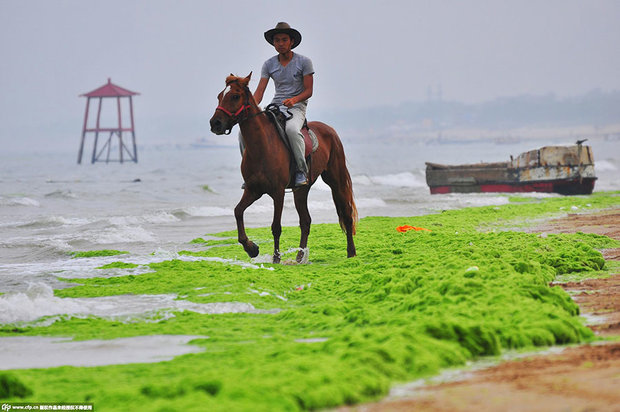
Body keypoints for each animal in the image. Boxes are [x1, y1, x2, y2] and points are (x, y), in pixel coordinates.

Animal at [208, 72, 356, 262]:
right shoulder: (253, 190)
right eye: (220, 96)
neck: (262, 146)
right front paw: (251, 248)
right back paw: (300, 257)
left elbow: (276, 227)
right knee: (305, 221)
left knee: (346, 213)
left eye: (235, 96)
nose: (215, 123)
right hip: (301, 190)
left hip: (336, 181)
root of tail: (330, 130)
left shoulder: (278, 192)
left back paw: (351, 253)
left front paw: (276, 258)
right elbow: (238, 212)